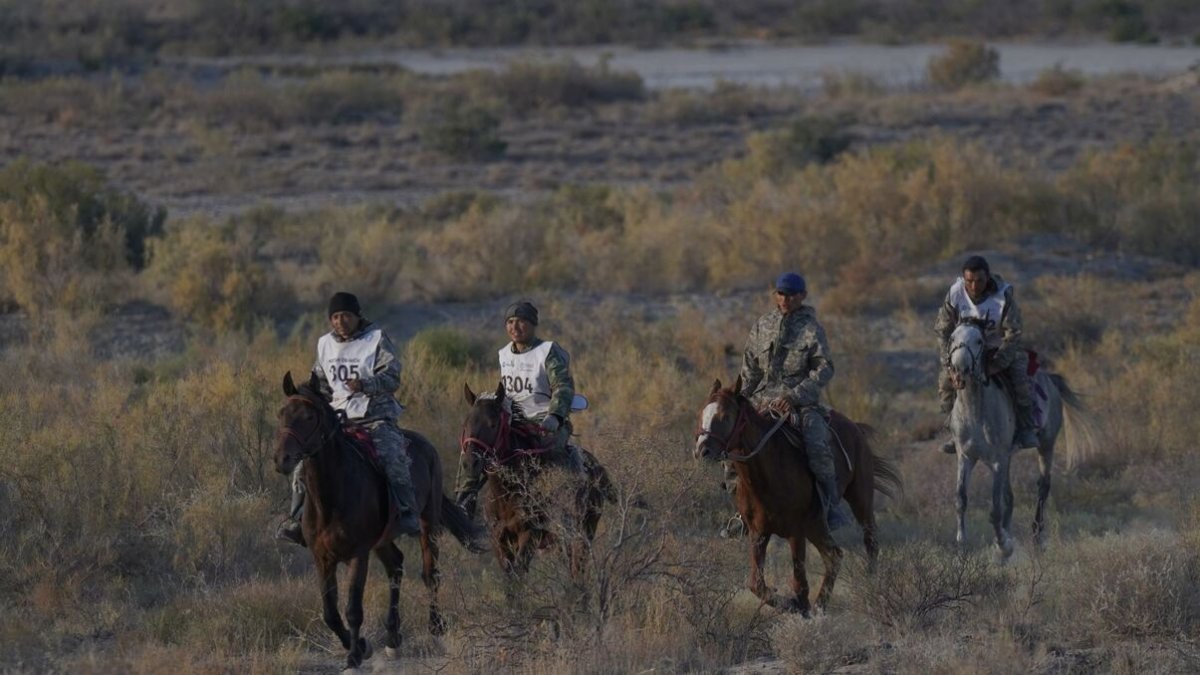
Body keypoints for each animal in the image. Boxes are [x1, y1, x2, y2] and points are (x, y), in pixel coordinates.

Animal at [274, 369, 484, 667]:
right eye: (281, 413)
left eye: (309, 417)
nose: (282, 459)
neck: (331, 496)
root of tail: (426, 445)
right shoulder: (322, 557)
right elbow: (330, 613)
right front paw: (361, 646)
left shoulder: (358, 554)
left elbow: (353, 609)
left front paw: (353, 657)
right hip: (383, 539)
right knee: (395, 566)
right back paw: (393, 639)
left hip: (428, 524)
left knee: (430, 573)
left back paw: (436, 629)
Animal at [456, 381, 614, 581]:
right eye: (466, 424)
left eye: (493, 424)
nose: (470, 463)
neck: (507, 492)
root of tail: (596, 466)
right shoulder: (499, 540)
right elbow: (511, 580)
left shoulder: (530, 534)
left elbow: (518, 574)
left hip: (584, 531)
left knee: (577, 569)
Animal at [696, 374, 902, 612]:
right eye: (702, 414)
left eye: (725, 416)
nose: (702, 451)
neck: (767, 472)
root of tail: (856, 428)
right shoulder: (758, 533)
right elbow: (756, 584)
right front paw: (790, 604)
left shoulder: (796, 531)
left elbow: (799, 582)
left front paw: (797, 606)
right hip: (816, 525)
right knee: (834, 556)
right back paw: (820, 606)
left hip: (860, 498)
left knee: (869, 542)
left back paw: (869, 587)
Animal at [945, 317, 1099, 557]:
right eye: (952, 337)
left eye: (979, 341)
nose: (960, 368)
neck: (975, 411)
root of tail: (1050, 379)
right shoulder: (966, 457)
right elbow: (961, 500)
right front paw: (962, 548)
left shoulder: (998, 460)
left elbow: (995, 508)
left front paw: (1003, 547)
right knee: (1009, 496)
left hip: (1046, 445)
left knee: (1043, 486)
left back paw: (1036, 537)